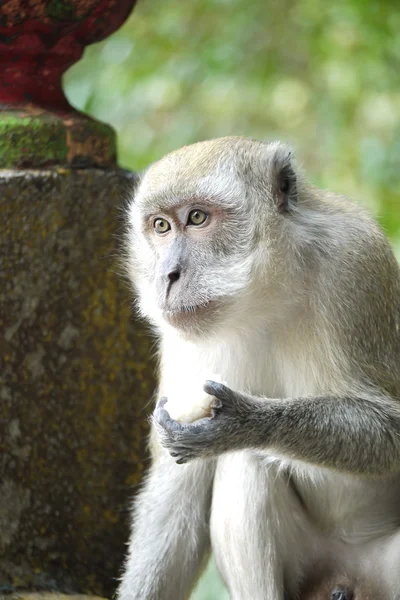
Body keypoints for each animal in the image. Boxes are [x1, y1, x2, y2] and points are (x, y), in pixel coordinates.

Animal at [118, 137, 400, 600]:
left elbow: (391, 432)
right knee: (245, 468)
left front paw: (246, 422)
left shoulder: (353, 261)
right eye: (161, 227)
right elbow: (179, 491)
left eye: (197, 218)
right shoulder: (177, 334)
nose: (167, 276)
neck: (266, 292)